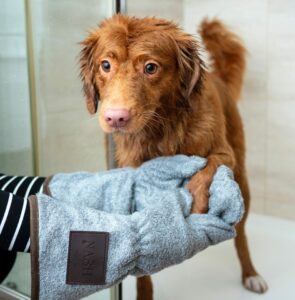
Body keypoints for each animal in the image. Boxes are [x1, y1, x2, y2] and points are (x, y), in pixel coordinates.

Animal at [80, 14, 270, 298]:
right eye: (105, 65)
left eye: (150, 67)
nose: (115, 118)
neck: (160, 129)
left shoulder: (224, 153)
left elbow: (206, 168)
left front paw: (198, 201)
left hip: (242, 177)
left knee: (242, 234)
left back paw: (251, 274)